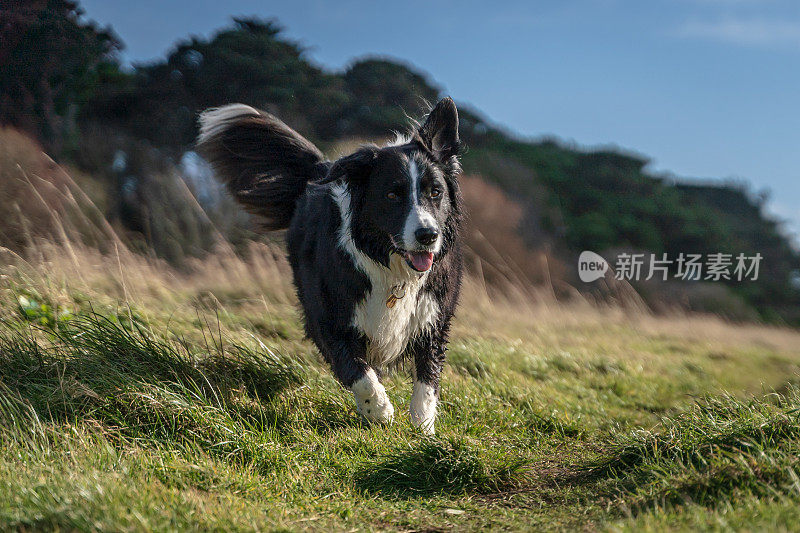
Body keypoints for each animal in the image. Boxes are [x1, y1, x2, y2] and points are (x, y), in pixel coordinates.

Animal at [196, 97, 466, 434]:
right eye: (392, 194)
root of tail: (324, 168)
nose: (428, 236)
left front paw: (423, 428)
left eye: (436, 192)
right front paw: (379, 410)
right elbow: (359, 373)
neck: (391, 267)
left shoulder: (433, 318)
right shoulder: (329, 319)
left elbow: (427, 379)